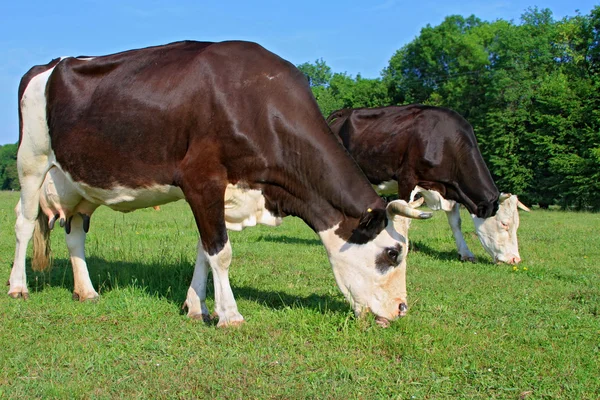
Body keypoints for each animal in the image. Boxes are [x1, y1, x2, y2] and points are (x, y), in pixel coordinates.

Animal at [9, 41, 432, 328]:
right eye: (393, 252)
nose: (402, 309)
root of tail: (49, 64)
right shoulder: (201, 180)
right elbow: (221, 252)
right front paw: (229, 314)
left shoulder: (223, 193)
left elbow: (204, 250)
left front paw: (195, 307)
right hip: (31, 162)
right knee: (24, 223)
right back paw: (18, 287)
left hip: (80, 183)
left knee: (75, 232)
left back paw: (87, 291)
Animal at [328, 104, 528, 264]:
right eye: (504, 224)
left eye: (517, 225)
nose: (515, 259)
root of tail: (345, 112)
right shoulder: (407, 179)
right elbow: (405, 217)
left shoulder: (451, 187)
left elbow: (455, 222)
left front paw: (465, 253)